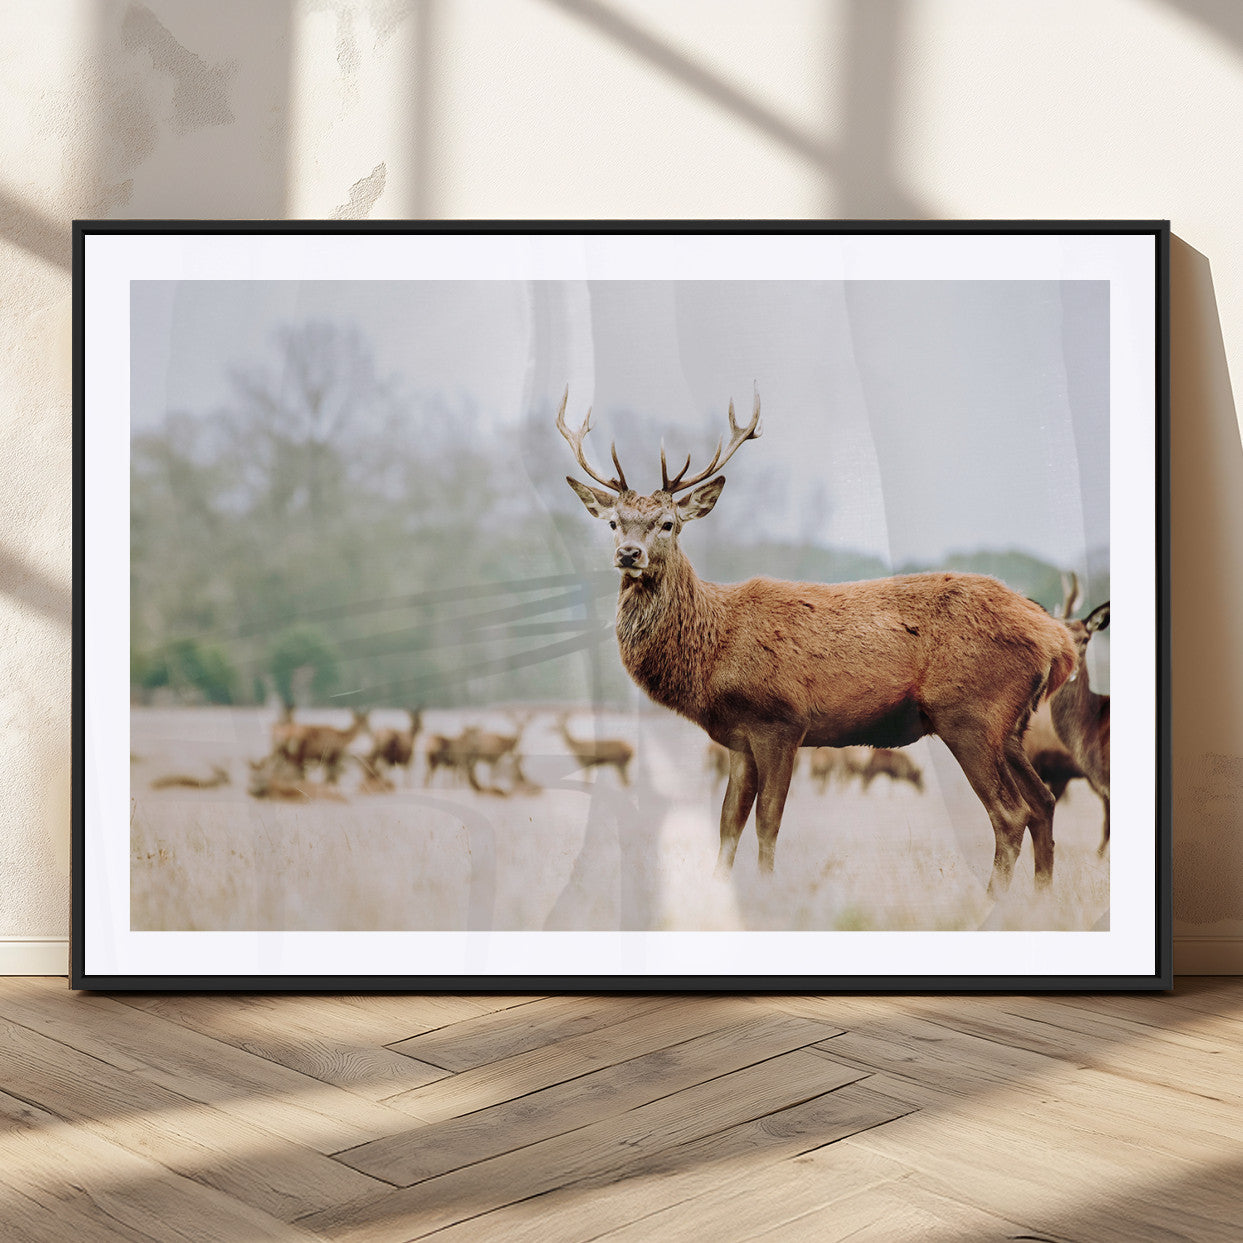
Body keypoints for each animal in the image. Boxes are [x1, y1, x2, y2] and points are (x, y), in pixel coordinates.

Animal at [559, 387, 1078, 893]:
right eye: (613, 523)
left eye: (668, 524)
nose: (629, 554)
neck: (713, 651)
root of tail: (1058, 640)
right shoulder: (738, 738)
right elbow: (728, 824)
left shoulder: (780, 721)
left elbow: (768, 822)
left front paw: (768, 893)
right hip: (1011, 726)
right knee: (1044, 803)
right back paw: (1041, 899)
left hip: (969, 712)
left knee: (1010, 813)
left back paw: (994, 902)